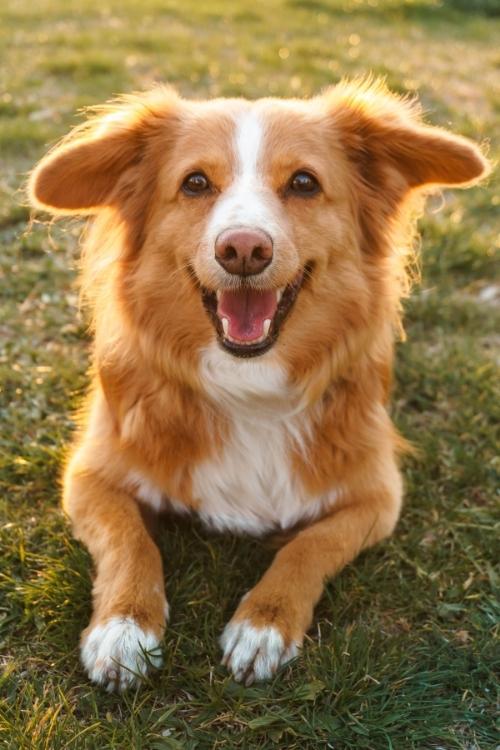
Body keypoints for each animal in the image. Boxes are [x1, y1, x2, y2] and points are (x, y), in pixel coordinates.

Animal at [28, 78, 488, 692]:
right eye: (195, 183)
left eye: (304, 183)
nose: (243, 249)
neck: (248, 386)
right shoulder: (89, 474)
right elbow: (129, 540)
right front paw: (124, 626)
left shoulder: (378, 494)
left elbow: (311, 545)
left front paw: (264, 624)